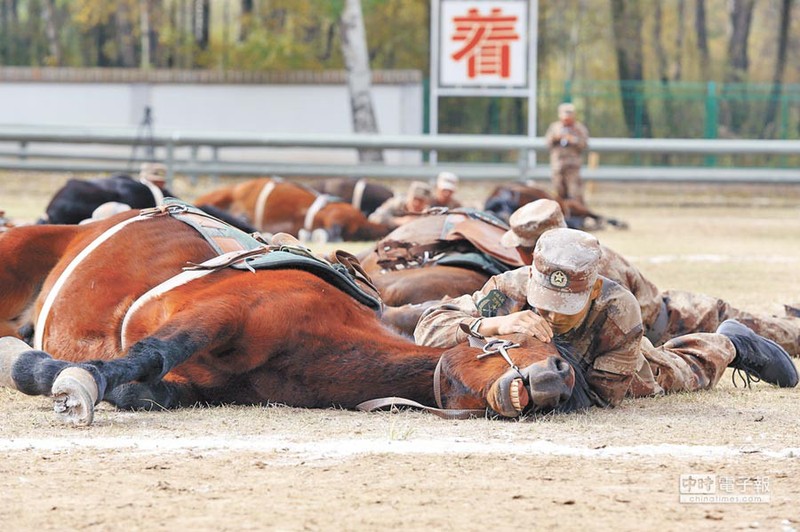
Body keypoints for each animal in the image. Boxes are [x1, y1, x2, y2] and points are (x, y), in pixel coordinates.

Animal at [0, 202, 588, 426]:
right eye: (536, 339)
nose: (558, 379)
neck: (311, 344)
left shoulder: (203, 386)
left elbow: (141, 390)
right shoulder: (219, 310)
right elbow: (151, 353)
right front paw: (60, 378)